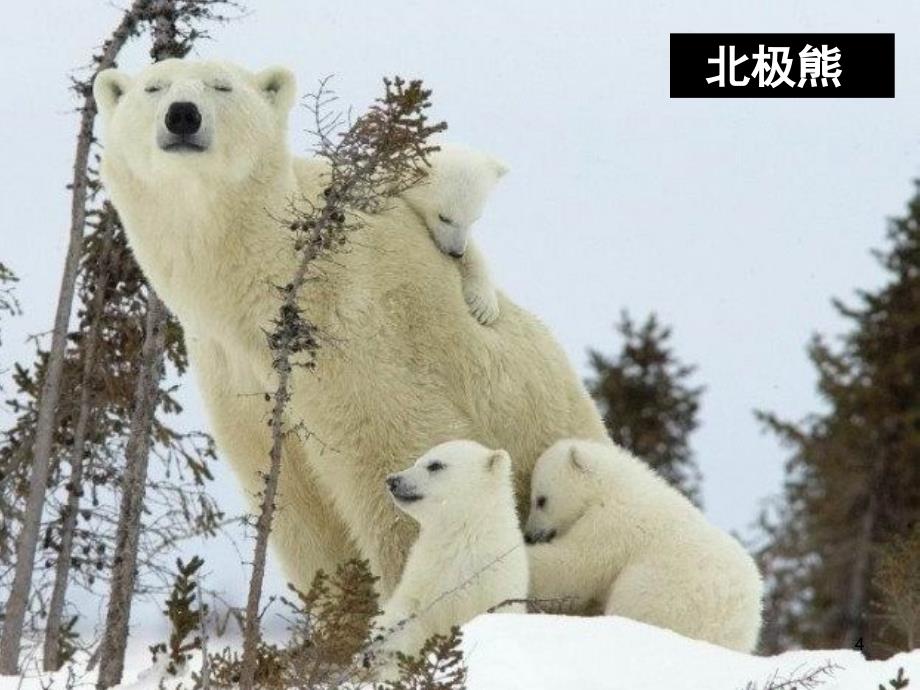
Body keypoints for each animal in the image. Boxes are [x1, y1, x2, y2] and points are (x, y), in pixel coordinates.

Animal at [374, 440, 528, 660]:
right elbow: (407, 613)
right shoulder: (423, 575)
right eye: (416, 461)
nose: (392, 480)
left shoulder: (495, 583)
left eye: (435, 465)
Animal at [524, 440, 760, 652]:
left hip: (663, 595)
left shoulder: (613, 524)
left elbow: (574, 565)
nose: (529, 534)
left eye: (541, 500)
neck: (613, 486)